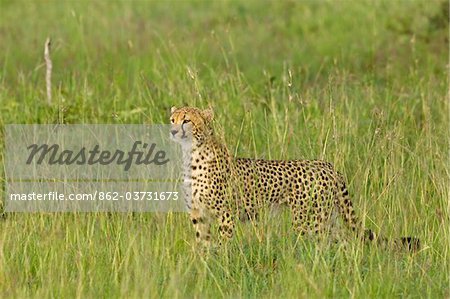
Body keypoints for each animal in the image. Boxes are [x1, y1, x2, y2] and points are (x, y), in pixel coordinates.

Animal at [169, 106, 418, 252]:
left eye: (187, 121)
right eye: (172, 119)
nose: (172, 131)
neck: (191, 153)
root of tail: (327, 165)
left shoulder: (226, 214)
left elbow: (221, 244)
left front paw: (220, 264)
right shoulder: (198, 214)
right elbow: (203, 243)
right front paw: (204, 266)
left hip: (308, 221)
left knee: (328, 243)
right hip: (327, 217)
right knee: (342, 240)